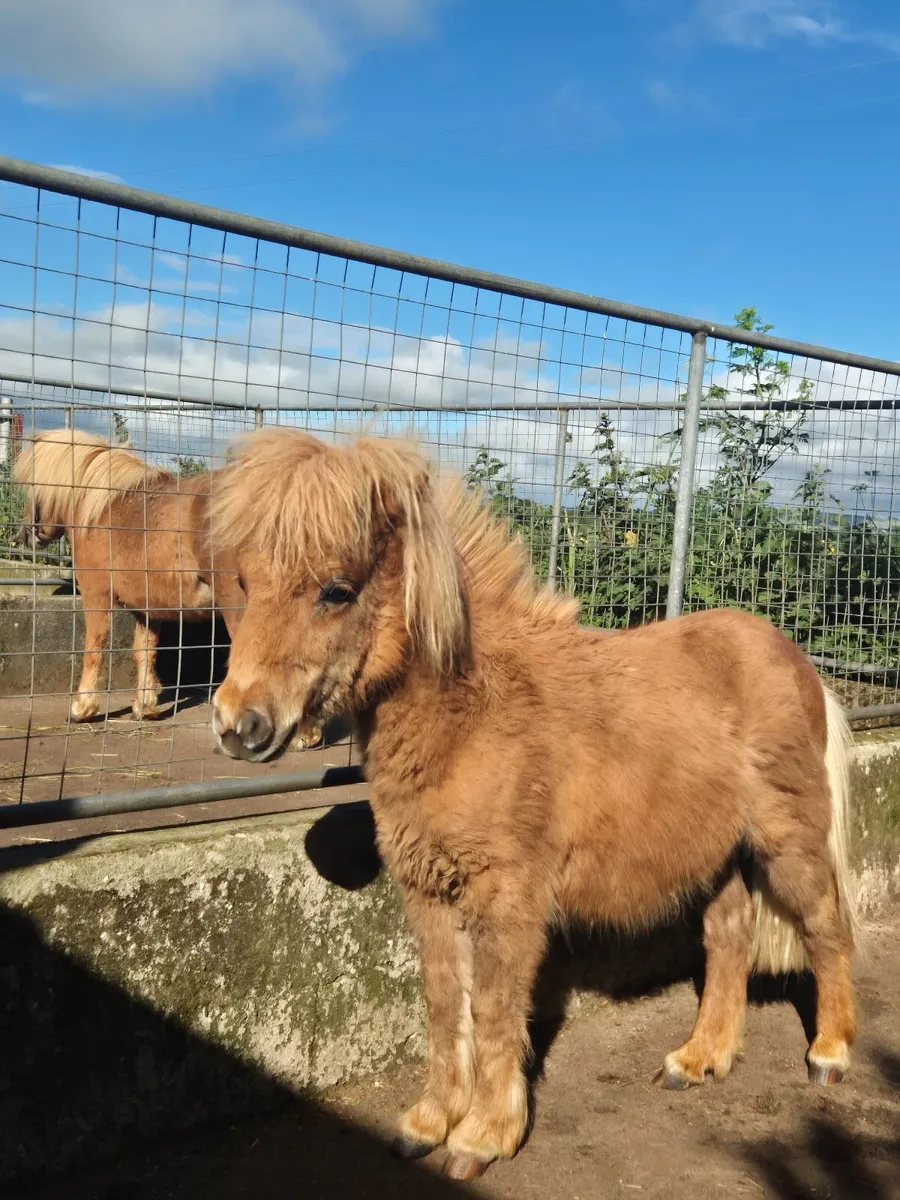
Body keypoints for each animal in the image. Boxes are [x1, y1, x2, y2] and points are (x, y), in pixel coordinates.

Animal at [13, 427, 323, 746]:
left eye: (33, 488)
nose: (24, 534)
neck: (105, 509)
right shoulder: (147, 609)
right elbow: (144, 652)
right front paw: (144, 705)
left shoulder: (97, 593)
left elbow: (95, 646)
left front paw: (82, 707)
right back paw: (307, 733)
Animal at [208, 428, 858, 1182]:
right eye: (247, 582)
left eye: (336, 591)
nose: (239, 726)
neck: (475, 713)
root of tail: (797, 661)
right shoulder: (427, 893)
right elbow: (443, 1005)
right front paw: (429, 1122)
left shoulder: (508, 899)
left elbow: (494, 1010)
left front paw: (484, 1135)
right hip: (718, 854)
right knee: (730, 940)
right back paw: (700, 1060)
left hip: (789, 840)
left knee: (825, 926)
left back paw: (830, 1054)